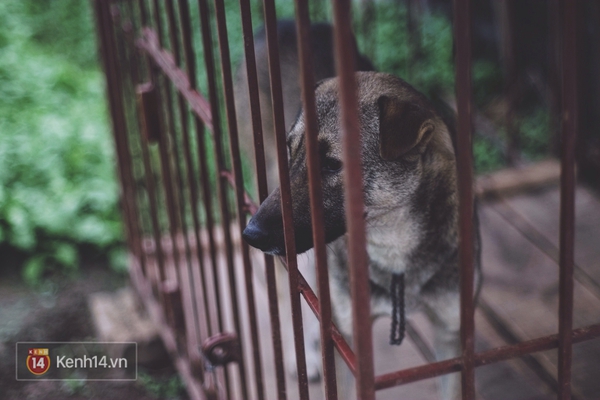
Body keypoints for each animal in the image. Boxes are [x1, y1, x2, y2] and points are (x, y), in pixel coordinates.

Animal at [244, 72, 482, 400]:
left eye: (332, 164)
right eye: (290, 152)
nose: (250, 234)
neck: (395, 251)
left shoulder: (453, 339)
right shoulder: (348, 341)